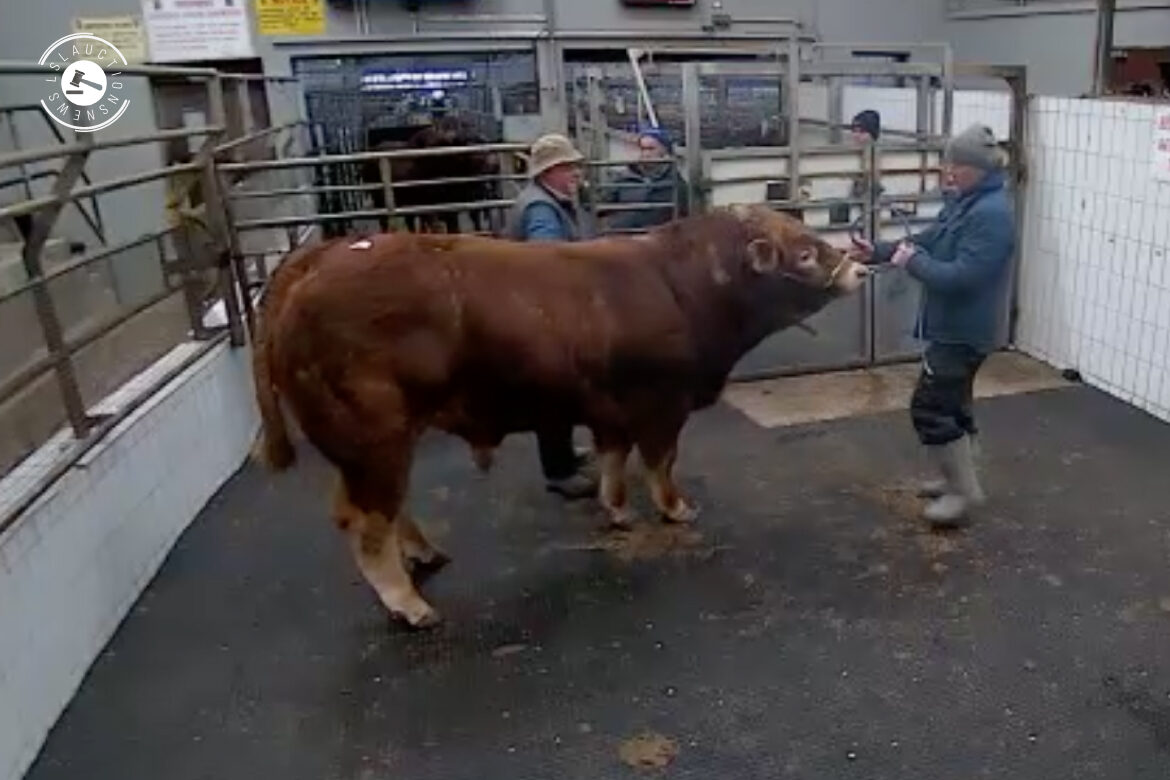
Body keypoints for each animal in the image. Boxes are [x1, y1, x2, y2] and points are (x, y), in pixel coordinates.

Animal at [253, 205, 870, 626]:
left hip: (382, 446)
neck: (684, 287)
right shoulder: (662, 405)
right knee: (367, 524)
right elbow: (661, 461)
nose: (858, 270)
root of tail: (326, 255)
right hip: (373, 441)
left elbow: (614, 459)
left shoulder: (612, 411)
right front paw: (676, 509)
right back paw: (410, 603)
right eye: (805, 253)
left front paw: (617, 510)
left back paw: (424, 553)